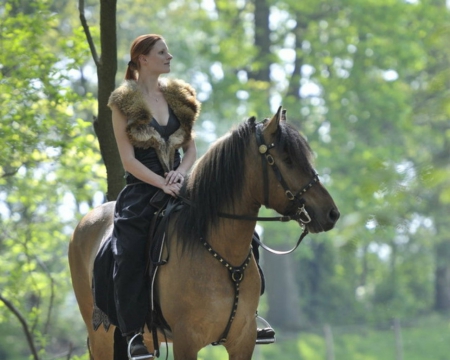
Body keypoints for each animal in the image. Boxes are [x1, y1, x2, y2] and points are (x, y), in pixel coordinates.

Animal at [68, 107, 340, 360]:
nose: (331, 213)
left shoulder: (243, 340)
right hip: (102, 336)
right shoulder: (186, 340)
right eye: (287, 159)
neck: (220, 252)